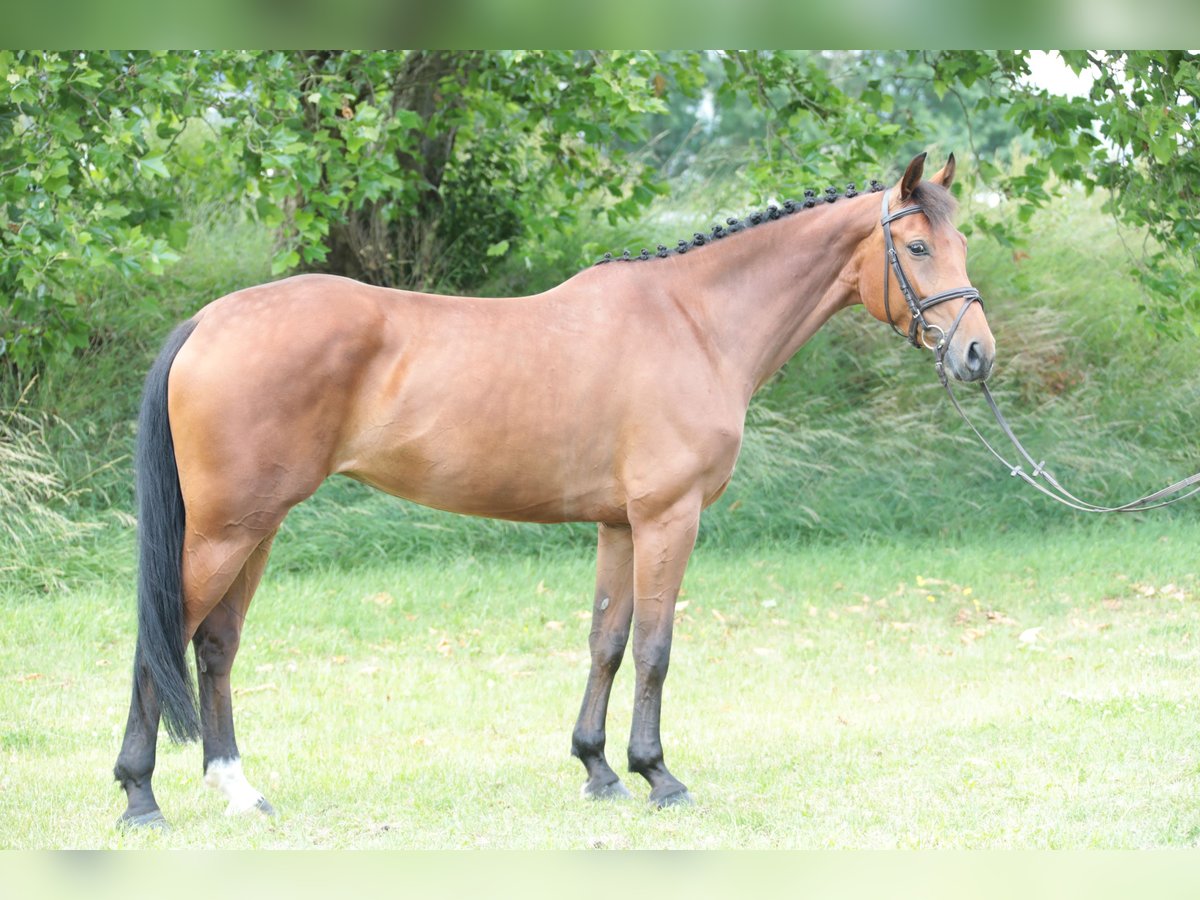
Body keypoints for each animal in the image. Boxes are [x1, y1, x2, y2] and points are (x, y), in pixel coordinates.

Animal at [114, 151, 993, 830]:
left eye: (960, 243)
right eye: (918, 246)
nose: (976, 354)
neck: (695, 321)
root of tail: (206, 323)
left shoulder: (620, 525)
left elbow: (607, 641)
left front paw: (598, 768)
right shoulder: (668, 518)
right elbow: (655, 648)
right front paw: (658, 775)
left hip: (256, 527)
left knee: (215, 645)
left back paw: (238, 789)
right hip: (225, 531)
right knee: (161, 641)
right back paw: (139, 798)